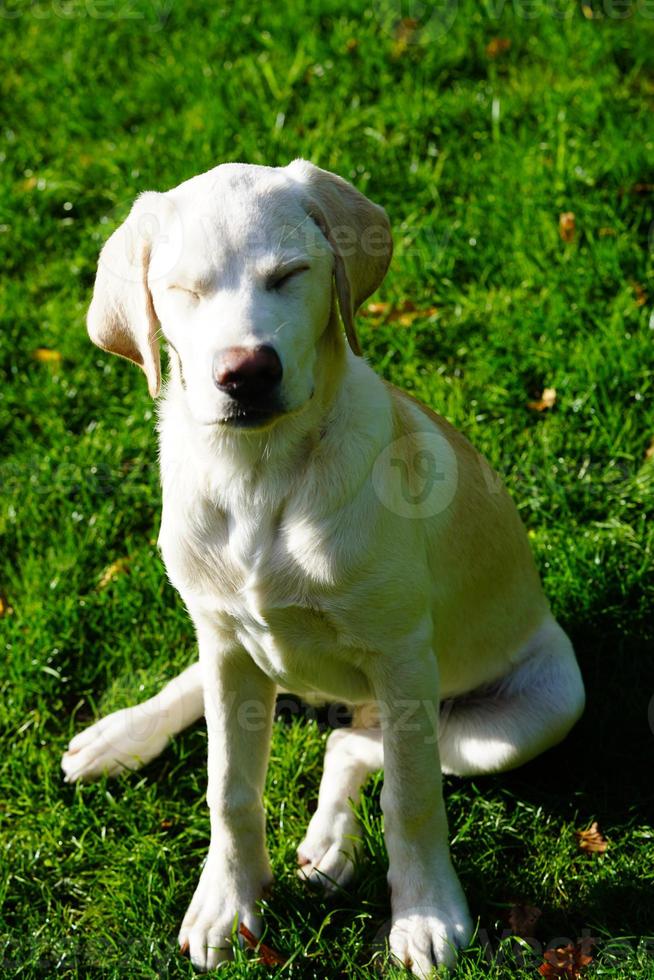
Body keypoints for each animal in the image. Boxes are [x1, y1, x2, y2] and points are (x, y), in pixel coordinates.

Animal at [60, 161, 584, 972]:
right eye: (183, 291)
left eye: (290, 275)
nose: (246, 373)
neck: (258, 477)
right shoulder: (227, 648)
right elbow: (229, 789)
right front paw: (228, 900)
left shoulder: (402, 656)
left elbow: (411, 798)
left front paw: (425, 913)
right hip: (231, 640)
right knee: (256, 702)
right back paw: (122, 734)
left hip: (531, 712)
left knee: (357, 745)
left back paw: (332, 845)